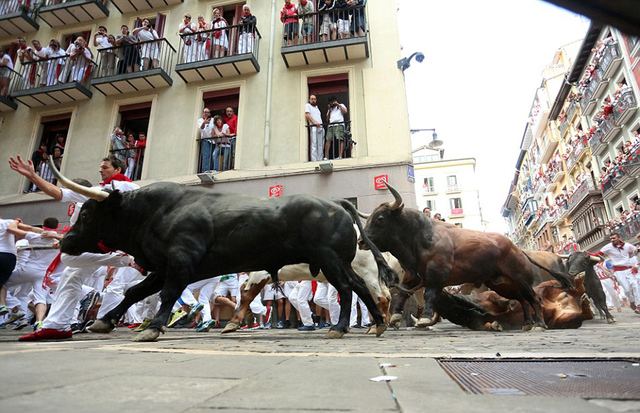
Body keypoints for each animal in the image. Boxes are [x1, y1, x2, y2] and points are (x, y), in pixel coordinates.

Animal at [51, 159, 396, 340]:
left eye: (85, 214)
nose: (64, 242)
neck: (154, 211)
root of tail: (337, 204)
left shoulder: (180, 263)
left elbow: (167, 294)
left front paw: (154, 327)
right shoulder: (162, 268)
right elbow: (134, 291)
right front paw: (105, 320)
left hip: (330, 260)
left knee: (349, 289)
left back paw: (340, 327)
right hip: (339, 262)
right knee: (360, 288)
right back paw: (378, 323)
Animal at [360, 182, 576, 330]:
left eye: (380, 219)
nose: (361, 241)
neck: (420, 236)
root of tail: (516, 248)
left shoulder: (437, 275)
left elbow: (429, 295)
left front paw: (424, 318)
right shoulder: (413, 275)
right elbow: (402, 294)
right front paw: (396, 317)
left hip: (521, 279)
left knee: (533, 298)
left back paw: (539, 324)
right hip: (503, 284)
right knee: (522, 300)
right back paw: (527, 323)